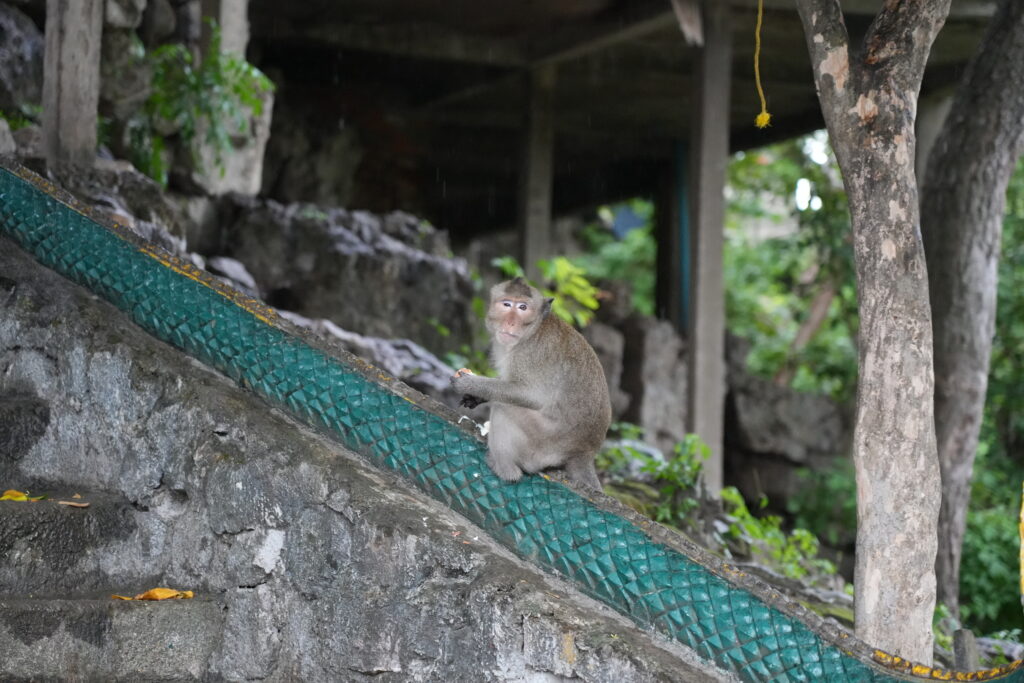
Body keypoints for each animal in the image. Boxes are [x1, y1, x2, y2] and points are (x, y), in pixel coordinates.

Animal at [451, 277, 611, 490]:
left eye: (523, 307)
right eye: (506, 304)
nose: (510, 322)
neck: (533, 330)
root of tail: (584, 453)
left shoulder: (529, 354)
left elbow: (531, 395)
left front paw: (470, 384)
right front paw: (475, 397)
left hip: (541, 445)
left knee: (503, 407)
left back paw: (506, 470)